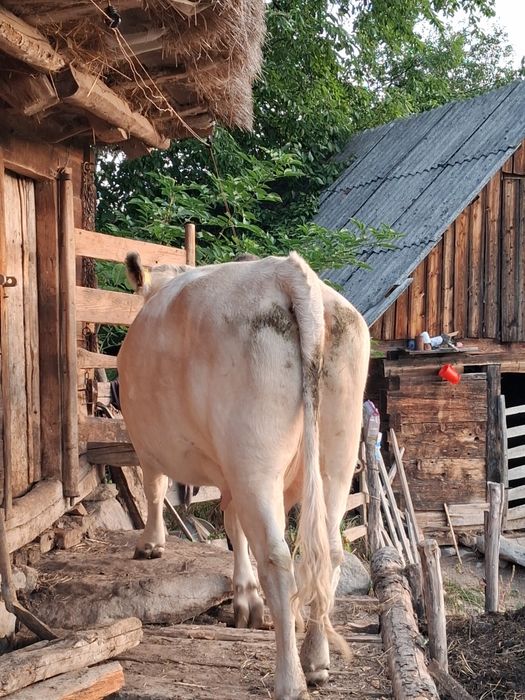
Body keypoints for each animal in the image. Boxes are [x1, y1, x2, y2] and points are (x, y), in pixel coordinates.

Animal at [117, 252, 370, 700]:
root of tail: (290, 272)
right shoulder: (233, 475)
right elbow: (235, 525)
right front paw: (247, 600)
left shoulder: (149, 447)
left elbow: (154, 489)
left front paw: (151, 544)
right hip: (335, 456)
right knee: (329, 550)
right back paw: (315, 660)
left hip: (254, 458)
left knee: (278, 558)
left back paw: (290, 680)